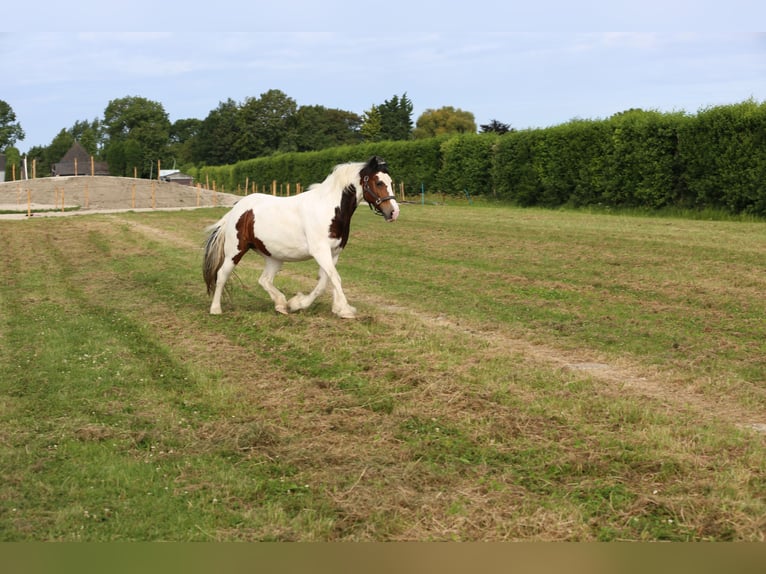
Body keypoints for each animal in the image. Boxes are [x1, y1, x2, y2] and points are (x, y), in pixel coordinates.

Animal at [201, 155, 400, 320]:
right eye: (379, 182)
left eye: (390, 181)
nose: (394, 212)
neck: (329, 209)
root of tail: (236, 209)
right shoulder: (320, 252)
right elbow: (334, 278)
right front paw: (345, 310)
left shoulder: (334, 253)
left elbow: (325, 281)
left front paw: (302, 304)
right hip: (235, 251)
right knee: (222, 274)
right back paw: (216, 309)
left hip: (274, 257)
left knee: (264, 280)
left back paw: (282, 305)